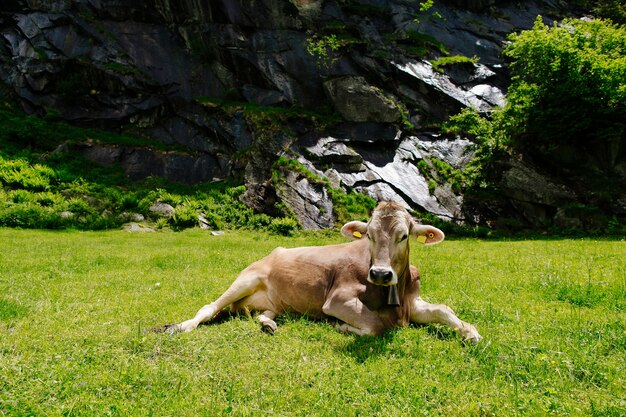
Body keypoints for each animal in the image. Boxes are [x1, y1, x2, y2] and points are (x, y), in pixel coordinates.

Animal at [163, 201, 480, 342]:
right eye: (369, 235)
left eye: (403, 236)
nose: (380, 273)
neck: (395, 298)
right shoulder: (338, 299)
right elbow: (375, 325)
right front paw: (342, 326)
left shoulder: (413, 302)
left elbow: (443, 310)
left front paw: (470, 332)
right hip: (245, 278)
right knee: (209, 308)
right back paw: (180, 326)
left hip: (274, 302)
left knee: (265, 312)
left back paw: (268, 324)